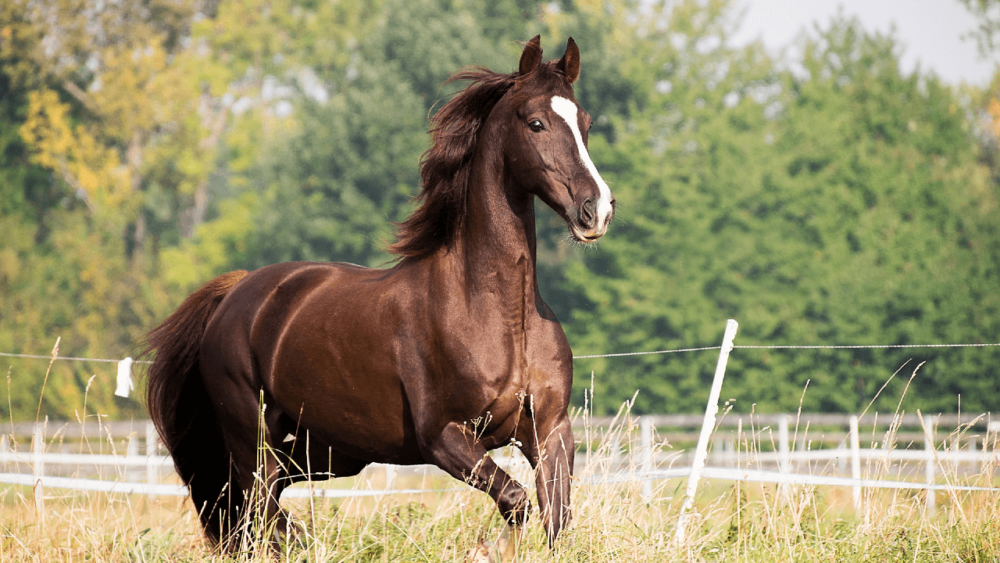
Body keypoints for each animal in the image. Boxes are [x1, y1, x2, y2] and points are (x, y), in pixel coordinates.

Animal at [144, 36, 612, 556]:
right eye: (535, 123)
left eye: (585, 122)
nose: (596, 210)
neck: (501, 316)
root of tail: (237, 293)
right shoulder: (442, 437)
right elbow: (516, 500)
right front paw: (486, 550)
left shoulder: (551, 433)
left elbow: (555, 518)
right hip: (254, 444)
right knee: (261, 517)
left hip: (314, 453)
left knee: (257, 519)